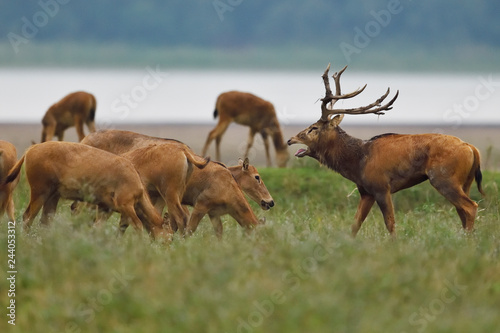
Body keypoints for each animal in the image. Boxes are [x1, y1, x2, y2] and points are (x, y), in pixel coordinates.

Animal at [3, 141, 172, 241]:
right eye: (169, 236)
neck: (133, 176)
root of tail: (30, 150)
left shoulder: (105, 208)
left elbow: (98, 227)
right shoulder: (126, 206)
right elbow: (137, 225)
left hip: (52, 197)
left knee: (45, 221)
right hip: (40, 193)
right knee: (27, 217)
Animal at [288, 63, 486, 236]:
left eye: (313, 128)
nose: (290, 139)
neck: (357, 163)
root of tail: (472, 149)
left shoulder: (382, 187)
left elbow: (390, 223)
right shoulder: (366, 192)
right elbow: (355, 224)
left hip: (443, 178)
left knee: (471, 207)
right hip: (465, 182)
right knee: (462, 210)